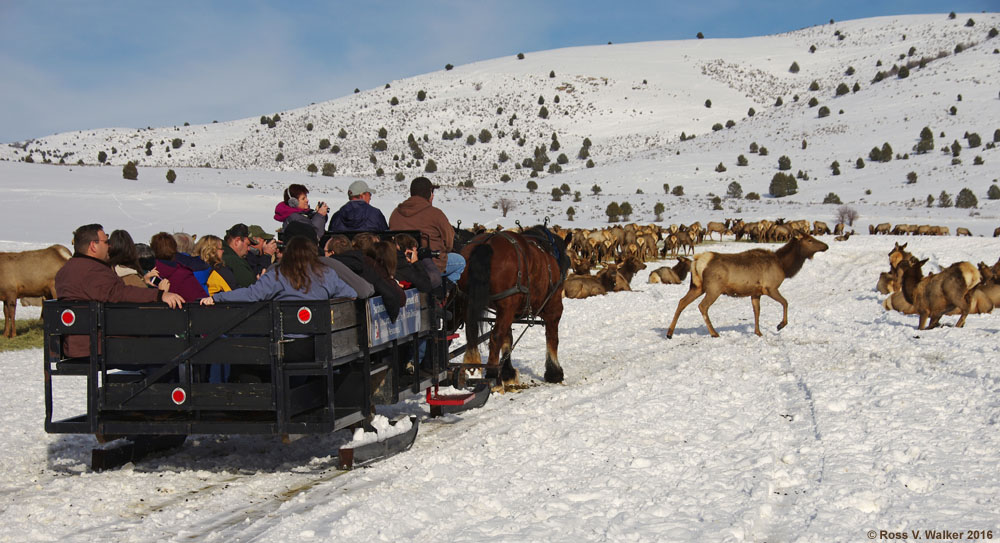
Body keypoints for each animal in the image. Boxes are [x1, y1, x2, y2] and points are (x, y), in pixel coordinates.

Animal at [460, 225, 572, 392]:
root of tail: (486, 243)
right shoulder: (554, 308)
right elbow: (552, 338)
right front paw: (554, 373)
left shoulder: (508, 311)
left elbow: (508, 339)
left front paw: (508, 373)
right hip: (508, 305)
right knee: (495, 337)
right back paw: (492, 376)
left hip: (472, 302)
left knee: (473, 333)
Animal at [664, 235, 828, 338]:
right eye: (809, 239)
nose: (825, 246)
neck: (784, 266)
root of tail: (698, 261)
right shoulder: (770, 288)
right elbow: (785, 302)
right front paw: (780, 325)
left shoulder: (755, 292)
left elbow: (757, 311)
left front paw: (758, 332)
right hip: (714, 288)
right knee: (702, 306)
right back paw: (714, 333)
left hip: (697, 287)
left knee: (682, 302)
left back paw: (669, 333)